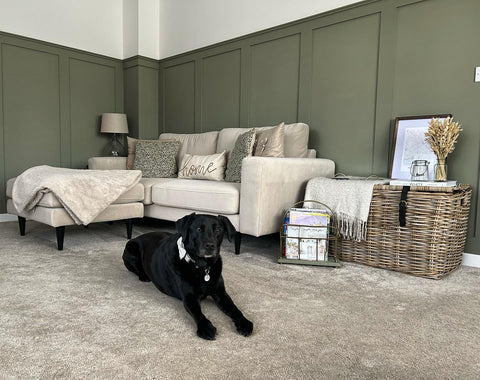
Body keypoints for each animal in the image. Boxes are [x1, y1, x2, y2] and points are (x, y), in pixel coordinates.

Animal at [122, 212, 253, 340]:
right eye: (198, 229)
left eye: (218, 230)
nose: (210, 246)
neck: (202, 267)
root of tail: (138, 236)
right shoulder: (189, 297)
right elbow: (198, 313)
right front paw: (205, 327)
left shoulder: (220, 293)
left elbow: (234, 308)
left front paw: (244, 323)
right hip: (131, 249)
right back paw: (143, 276)